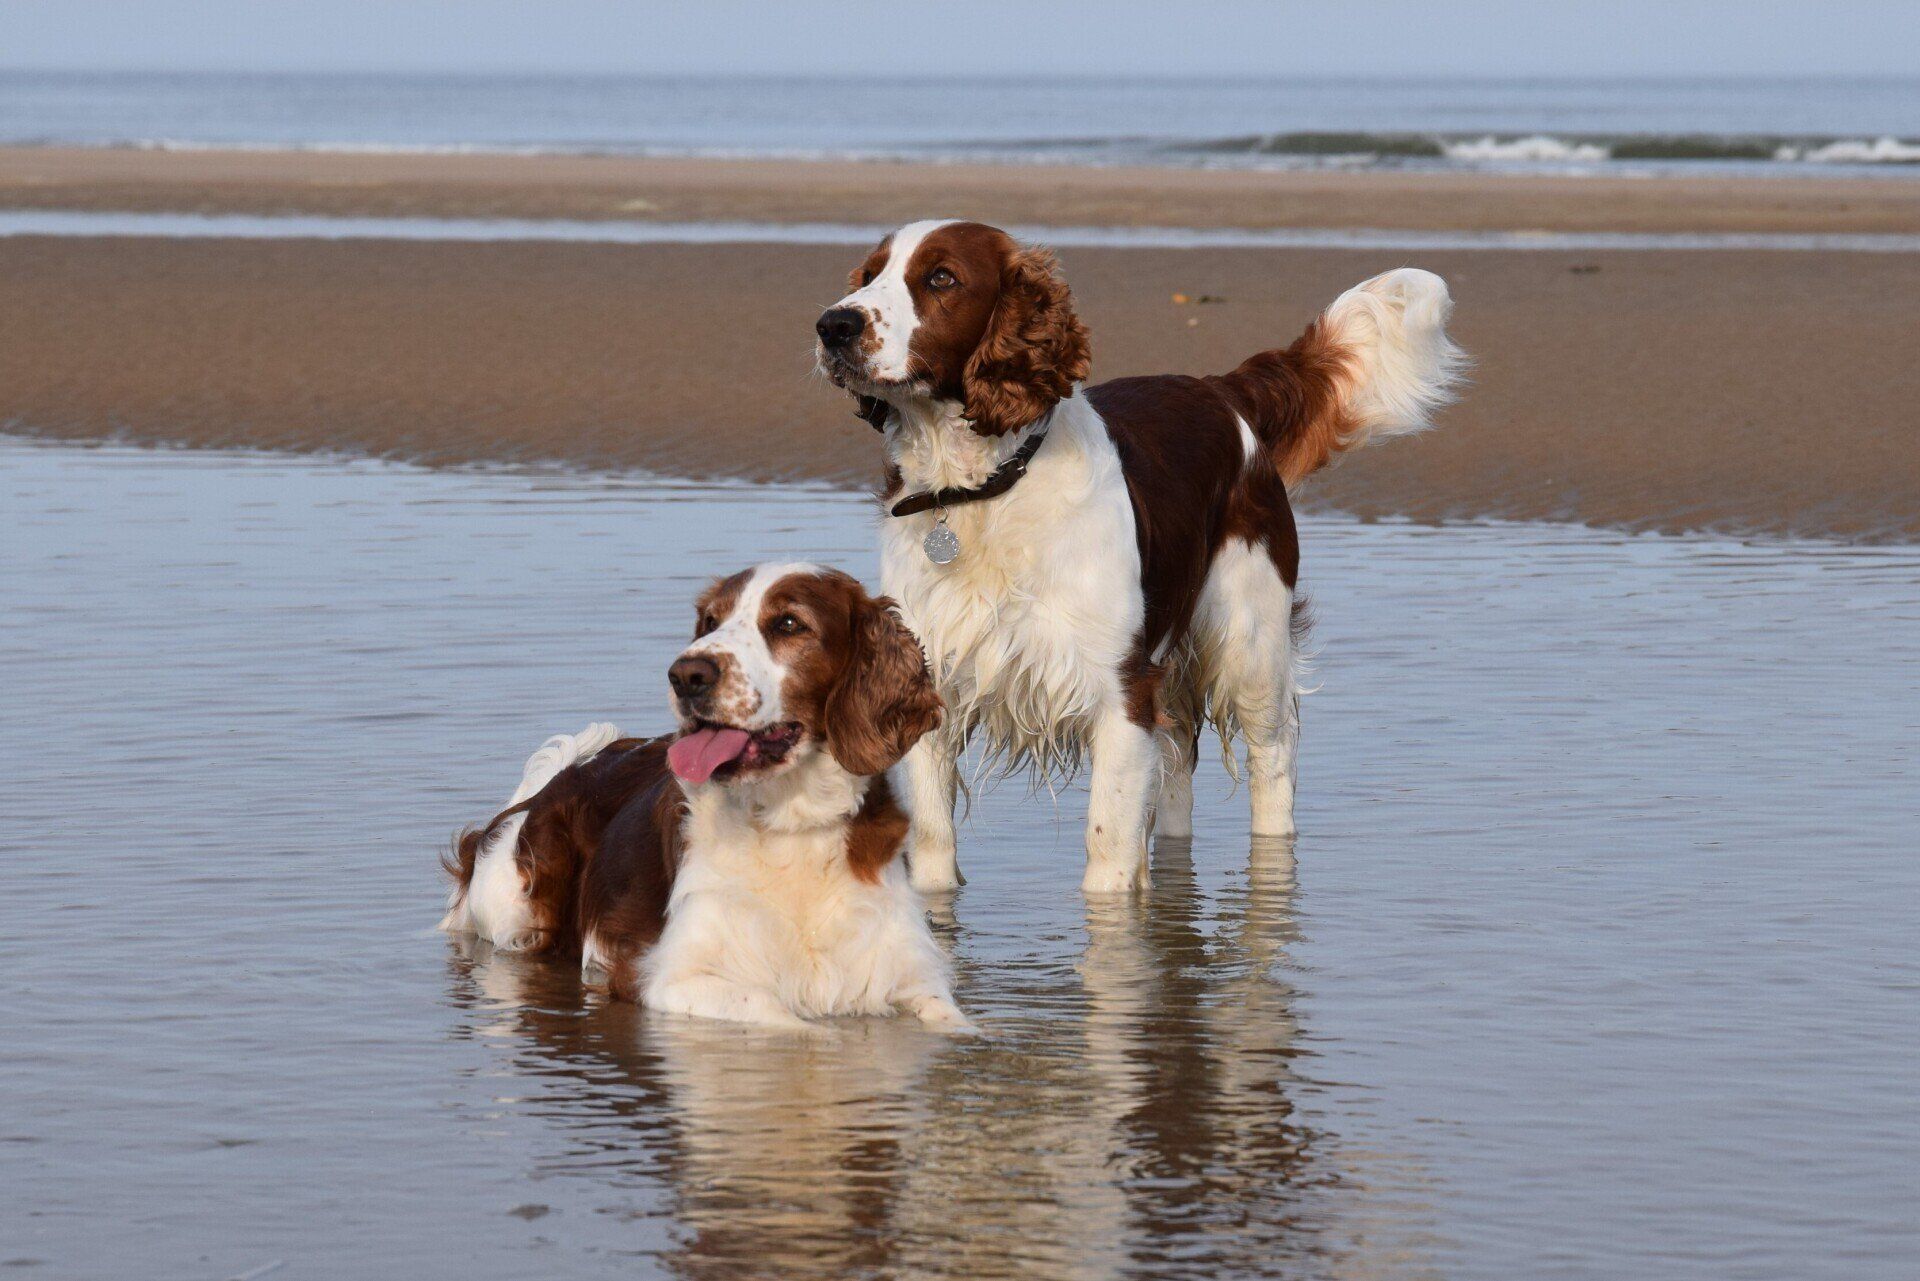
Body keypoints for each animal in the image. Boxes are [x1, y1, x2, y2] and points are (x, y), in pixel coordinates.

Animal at [439, 562, 965, 1029]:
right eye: (711, 621)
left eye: (788, 623)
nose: (686, 674)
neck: (789, 821)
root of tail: (553, 783)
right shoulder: (672, 980)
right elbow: (798, 1024)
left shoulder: (909, 977)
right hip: (515, 907)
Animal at [815, 220, 1464, 893]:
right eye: (869, 275)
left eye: (941, 277)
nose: (833, 325)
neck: (983, 491)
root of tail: (1219, 390)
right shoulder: (931, 686)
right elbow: (935, 850)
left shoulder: (1120, 690)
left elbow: (1107, 855)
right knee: (1177, 768)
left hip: (1250, 637)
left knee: (1273, 759)